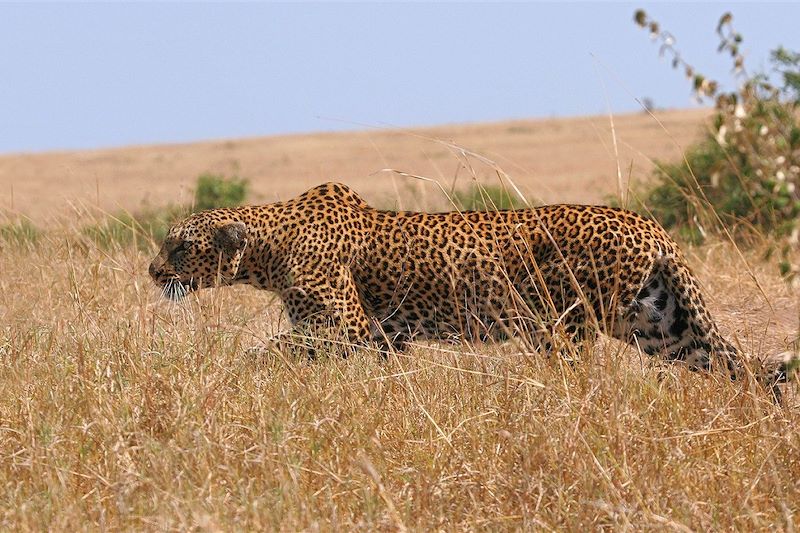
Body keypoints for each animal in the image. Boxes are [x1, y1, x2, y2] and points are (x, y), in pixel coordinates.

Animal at [150, 181, 792, 392]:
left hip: (564, 326)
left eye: (179, 246)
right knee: (731, 362)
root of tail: (652, 225)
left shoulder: (347, 327)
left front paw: (234, 373)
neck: (267, 249)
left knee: (578, 379)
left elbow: (271, 350)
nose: (153, 272)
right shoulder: (383, 338)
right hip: (661, 326)